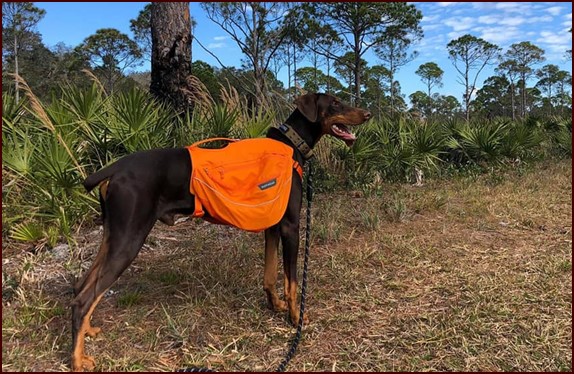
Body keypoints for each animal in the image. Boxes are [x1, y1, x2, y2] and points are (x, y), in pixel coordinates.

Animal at [72, 93, 372, 372]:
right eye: (335, 103)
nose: (368, 114)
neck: (291, 144)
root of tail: (115, 168)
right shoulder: (290, 226)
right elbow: (292, 283)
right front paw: (296, 319)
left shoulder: (272, 225)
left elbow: (270, 275)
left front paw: (275, 306)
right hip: (129, 239)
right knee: (83, 300)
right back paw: (77, 360)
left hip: (113, 236)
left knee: (82, 287)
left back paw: (87, 332)